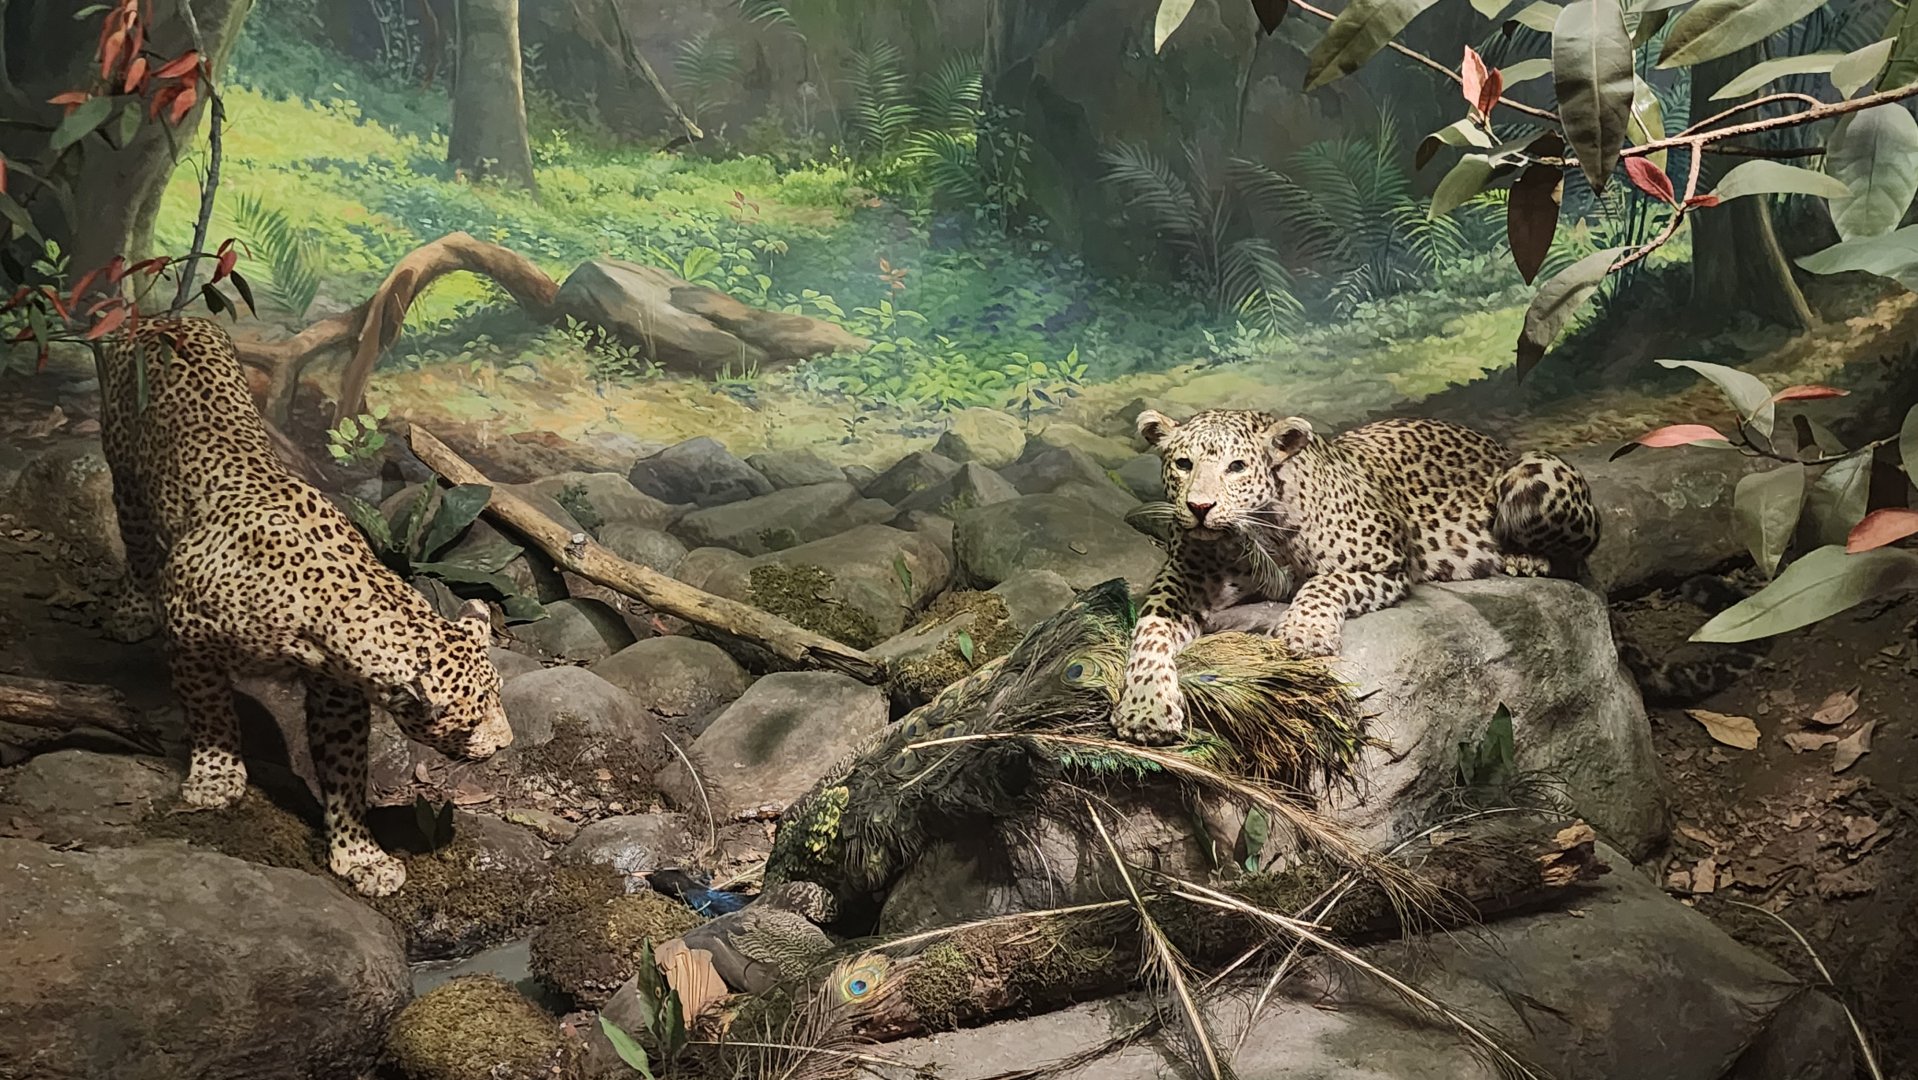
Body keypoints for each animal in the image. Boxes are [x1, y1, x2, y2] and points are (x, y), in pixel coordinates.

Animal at [97, 316, 513, 897]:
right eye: (470, 718)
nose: (505, 745)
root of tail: (168, 317)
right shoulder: (189, 629)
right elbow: (210, 708)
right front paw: (216, 776)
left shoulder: (338, 694)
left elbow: (345, 772)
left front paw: (361, 855)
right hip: (127, 474)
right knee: (134, 541)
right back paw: (132, 609)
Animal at [1113, 409, 1600, 746]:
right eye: (1183, 463)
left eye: (1236, 466)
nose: (1199, 507)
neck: (1257, 535)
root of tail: (1500, 446)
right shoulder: (1181, 581)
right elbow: (1149, 631)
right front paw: (1145, 709)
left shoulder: (1388, 563)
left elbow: (1325, 580)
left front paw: (1306, 632)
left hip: (1535, 472)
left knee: (1582, 555)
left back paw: (1525, 559)